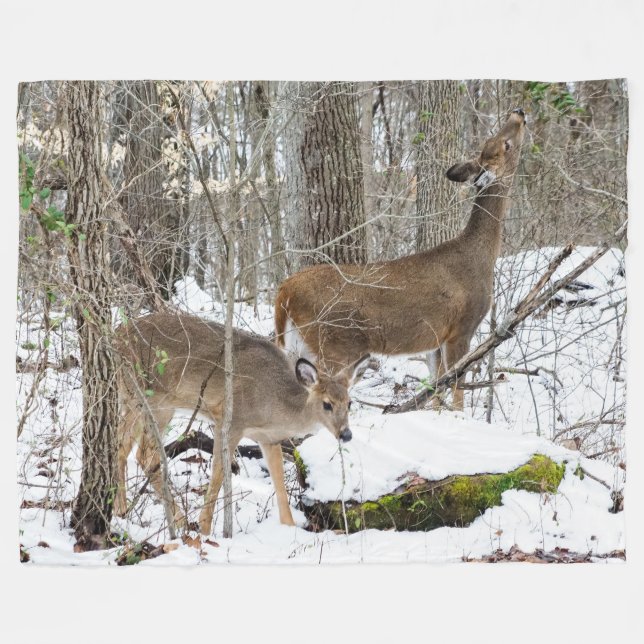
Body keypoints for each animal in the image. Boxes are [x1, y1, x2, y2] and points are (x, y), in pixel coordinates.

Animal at [114, 311, 370, 535]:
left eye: (349, 403)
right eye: (327, 404)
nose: (346, 434)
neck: (274, 404)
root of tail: (117, 335)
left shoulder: (269, 438)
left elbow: (278, 479)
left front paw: (289, 527)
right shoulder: (230, 421)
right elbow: (219, 472)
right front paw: (205, 529)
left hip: (131, 399)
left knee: (121, 445)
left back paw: (120, 509)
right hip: (157, 401)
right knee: (145, 456)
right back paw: (179, 519)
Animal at [274, 108, 526, 410]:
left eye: (494, 139)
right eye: (505, 144)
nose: (519, 113)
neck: (481, 255)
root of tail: (285, 292)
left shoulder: (437, 337)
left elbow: (436, 389)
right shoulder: (462, 327)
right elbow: (456, 388)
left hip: (297, 345)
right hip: (334, 343)